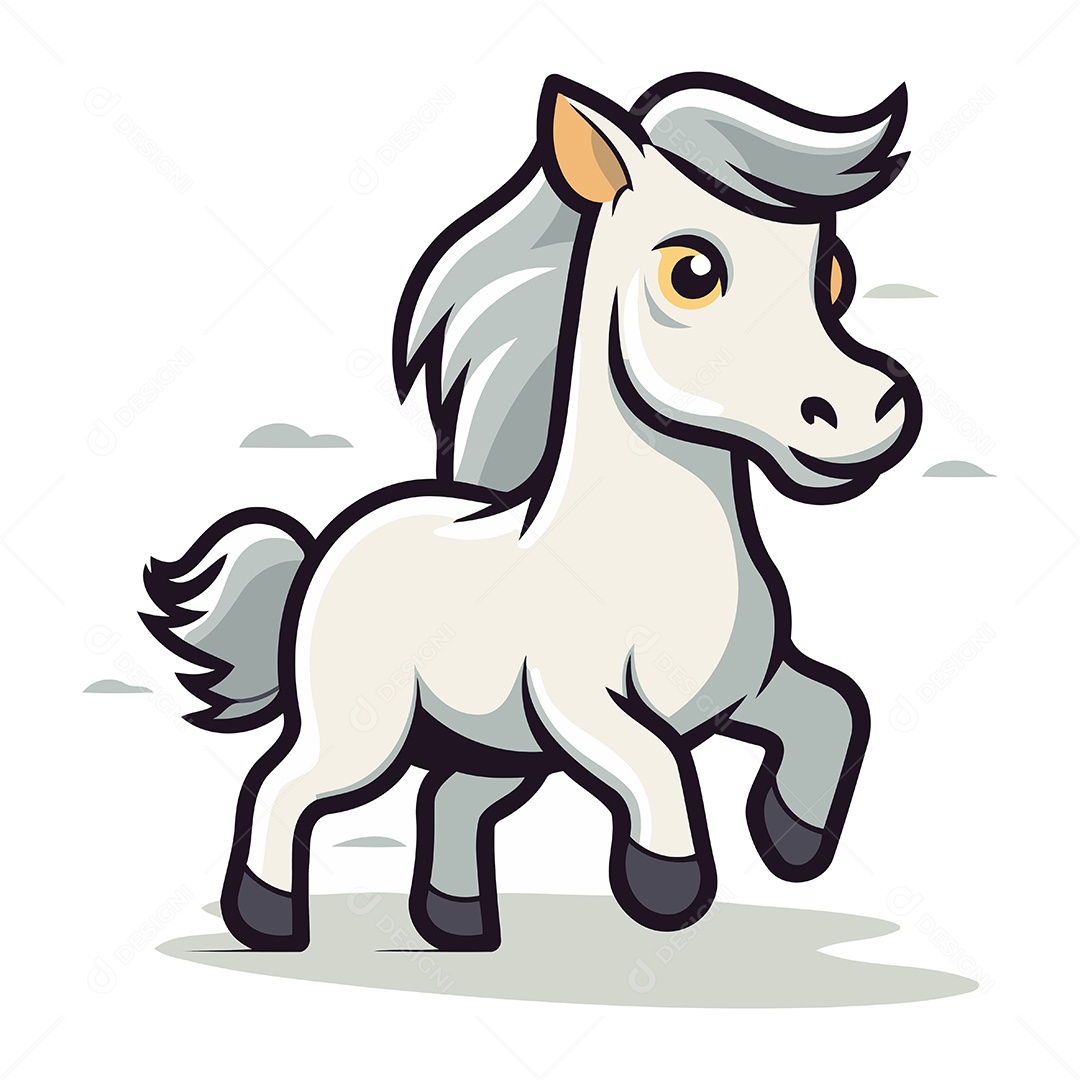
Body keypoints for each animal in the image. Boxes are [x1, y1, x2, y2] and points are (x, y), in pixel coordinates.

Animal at [142, 72, 921, 953]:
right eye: (692, 271)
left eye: (835, 274)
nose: (863, 414)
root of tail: (326, 549)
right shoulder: (578, 702)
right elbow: (657, 762)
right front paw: (667, 885)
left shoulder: (742, 687)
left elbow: (836, 705)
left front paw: (794, 839)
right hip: (363, 731)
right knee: (284, 785)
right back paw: (270, 921)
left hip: (498, 750)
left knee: (447, 797)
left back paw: (458, 926)